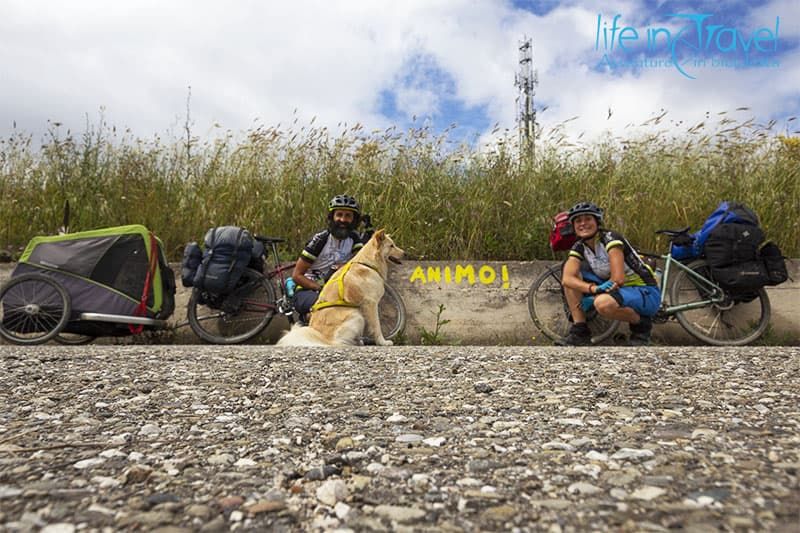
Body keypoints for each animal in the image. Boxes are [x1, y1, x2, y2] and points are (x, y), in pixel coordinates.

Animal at [278, 230, 406, 348]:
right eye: (391, 246)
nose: (405, 253)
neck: (368, 263)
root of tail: (322, 338)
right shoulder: (371, 304)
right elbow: (377, 326)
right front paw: (382, 342)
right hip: (356, 315)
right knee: (337, 344)